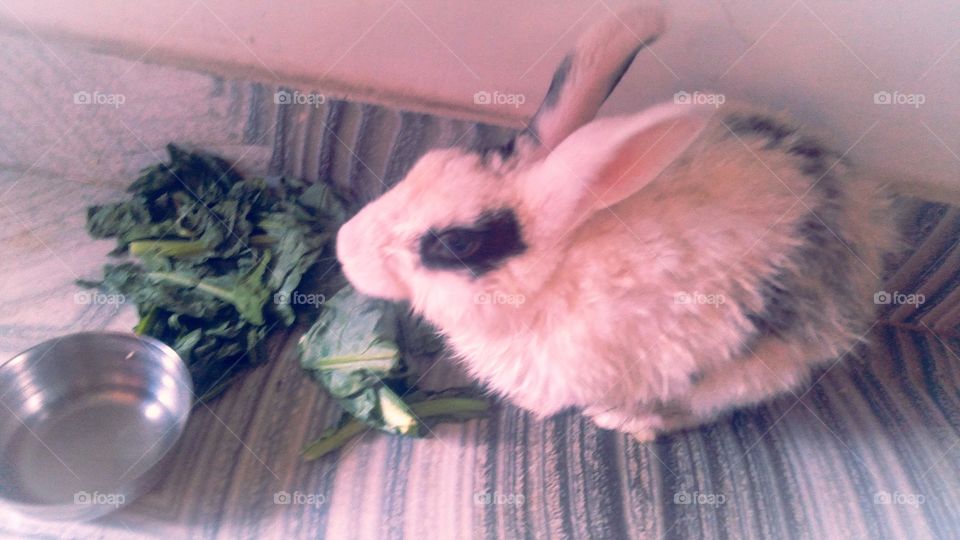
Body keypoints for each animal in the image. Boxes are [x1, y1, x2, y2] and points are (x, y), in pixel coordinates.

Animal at [336, 6, 897, 440]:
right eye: (426, 163)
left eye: (455, 244)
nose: (344, 246)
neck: (557, 269)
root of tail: (862, 218)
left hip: (751, 366)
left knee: (709, 404)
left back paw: (628, 421)